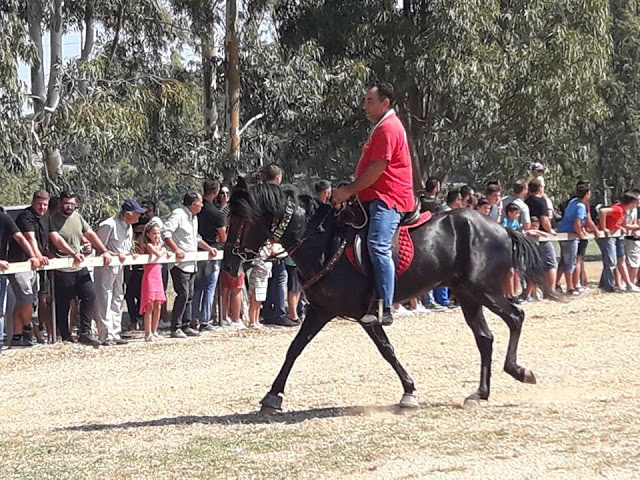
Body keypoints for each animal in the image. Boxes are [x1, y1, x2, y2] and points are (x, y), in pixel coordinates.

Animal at [221, 180, 552, 412]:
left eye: (241, 219)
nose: (228, 265)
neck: (324, 242)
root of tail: (501, 228)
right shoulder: (319, 310)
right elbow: (294, 349)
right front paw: (272, 396)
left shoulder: (366, 315)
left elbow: (386, 350)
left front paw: (409, 392)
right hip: (468, 294)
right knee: (485, 338)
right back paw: (480, 393)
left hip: (483, 290)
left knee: (515, 317)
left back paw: (519, 371)